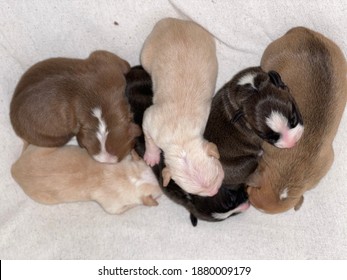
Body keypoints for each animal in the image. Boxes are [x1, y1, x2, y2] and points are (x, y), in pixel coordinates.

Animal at [10, 144, 162, 214]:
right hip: (45, 198)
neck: (133, 177)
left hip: (42, 148)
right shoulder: (113, 207)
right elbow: (126, 207)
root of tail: (14, 168)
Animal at [140, 17, 224, 197]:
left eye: (216, 177)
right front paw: (152, 156)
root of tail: (175, 21)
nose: (214, 192)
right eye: (196, 193)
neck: (181, 139)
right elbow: (148, 138)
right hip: (147, 52)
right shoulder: (151, 120)